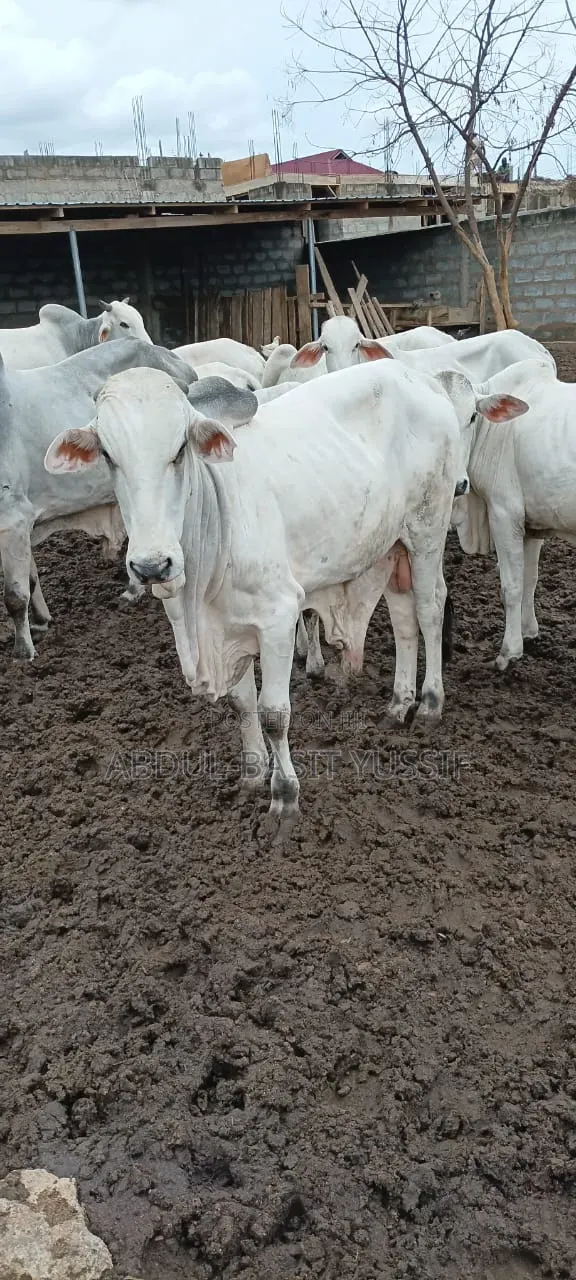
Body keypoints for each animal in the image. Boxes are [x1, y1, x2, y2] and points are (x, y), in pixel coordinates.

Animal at [0, 341, 196, 660]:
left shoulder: (12, 520)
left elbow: (15, 596)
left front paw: (23, 652)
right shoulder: (21, 525)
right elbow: (31, 579)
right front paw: (41, 623)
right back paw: (132, 590)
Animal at [44, 361, 527, 822]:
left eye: (179, 450)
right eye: (108, 456)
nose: (151, 565)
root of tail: (419, 378)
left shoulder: (277, 618)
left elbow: (274, 713)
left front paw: (284, 797)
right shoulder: (228, 629)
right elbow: (242, 705)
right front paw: (252, 776)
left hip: (427, 531)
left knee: (429, 609)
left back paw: (428, 704)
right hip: (391, 547)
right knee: (404, 619)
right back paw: (398, 703)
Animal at [449, 356, 572, 671]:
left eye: (472, 416)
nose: (456, 484)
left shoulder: (504, 514)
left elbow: (512, 585)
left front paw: (510, 650)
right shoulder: (533, 521)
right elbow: (530, 578)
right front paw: (529, 631)